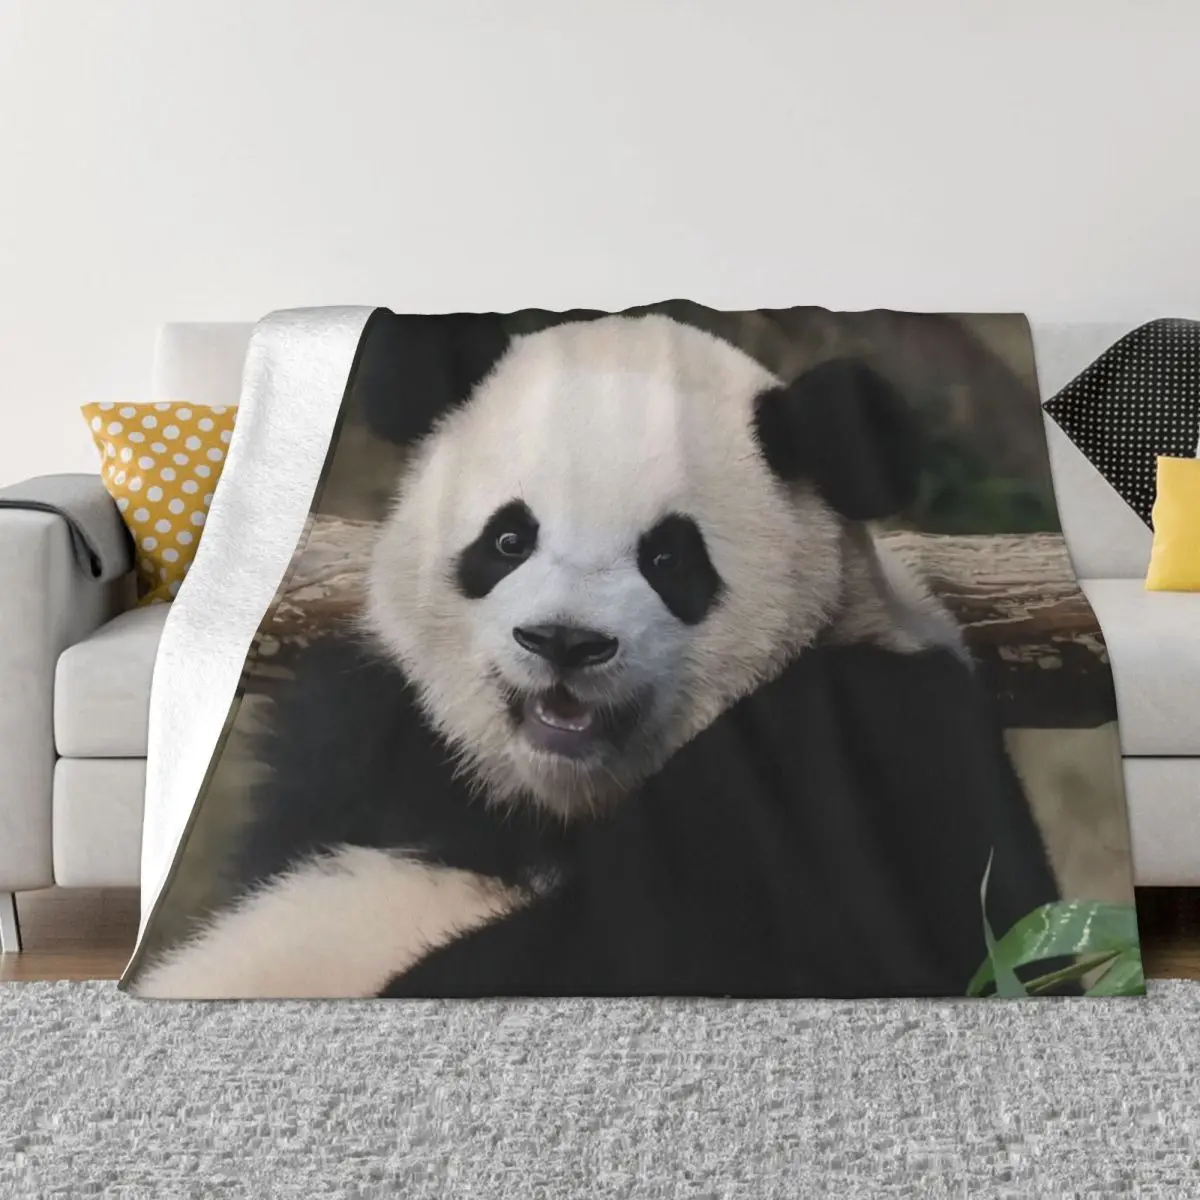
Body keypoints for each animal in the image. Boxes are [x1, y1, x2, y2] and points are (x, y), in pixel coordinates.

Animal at [135, 312, 1063, 1000]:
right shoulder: (368, 744)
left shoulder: (894, 752)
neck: (557, 802)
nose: (563, 642)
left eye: (670, 559)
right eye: (508, 539)